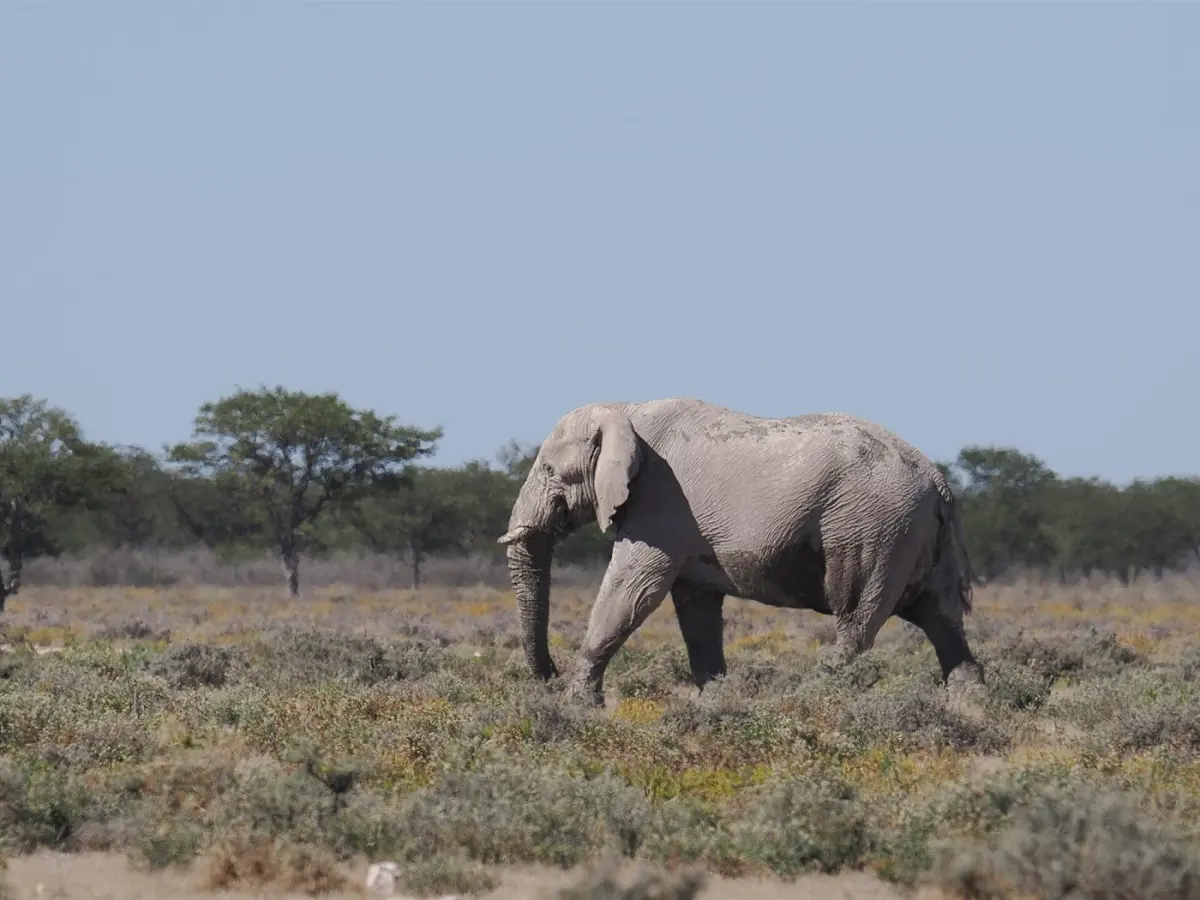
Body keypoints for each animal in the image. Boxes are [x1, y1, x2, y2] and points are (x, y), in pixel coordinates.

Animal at [498, 396, 983, 706]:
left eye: (549, 470)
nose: (548, 677)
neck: (624, 410)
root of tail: (939, 481)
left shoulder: (660, 504)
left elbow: (632, 591)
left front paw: (577, 706)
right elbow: (695, 608)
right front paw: (715, 704)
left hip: (872, 528)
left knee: (855, 618)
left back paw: (811, 699)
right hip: (912, 535)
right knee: (941, 620)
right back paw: (968, 707)